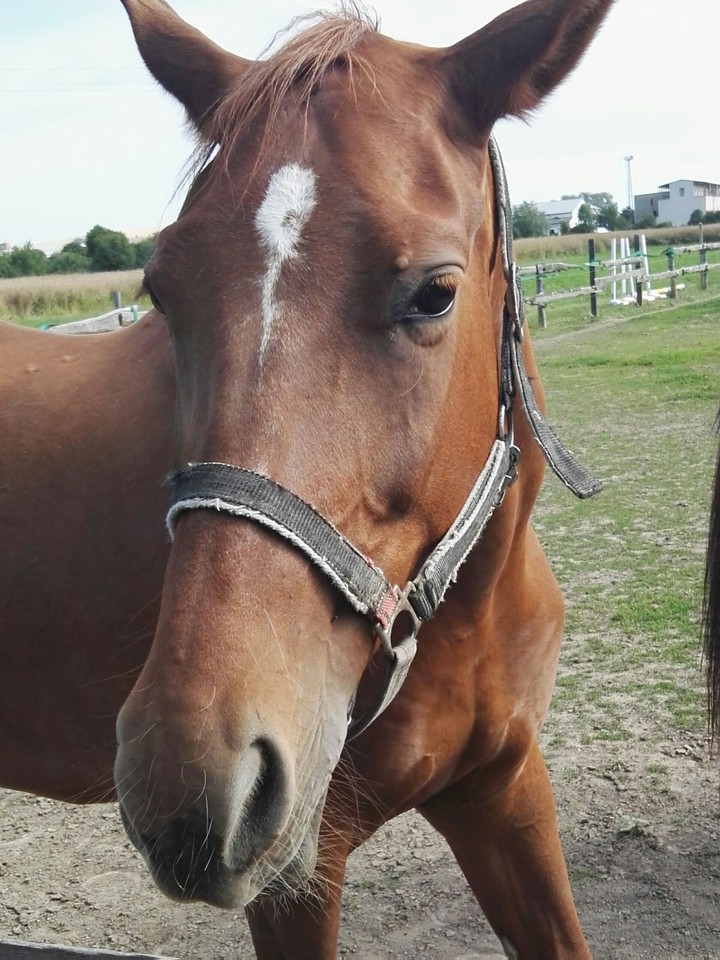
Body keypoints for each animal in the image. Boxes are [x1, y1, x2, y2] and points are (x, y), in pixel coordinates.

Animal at [0, 0, 612, 956]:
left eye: (435, 293)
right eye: (163, 291)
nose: (189, 777)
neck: (461, 617)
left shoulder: (505, 791)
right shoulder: (299, 878)